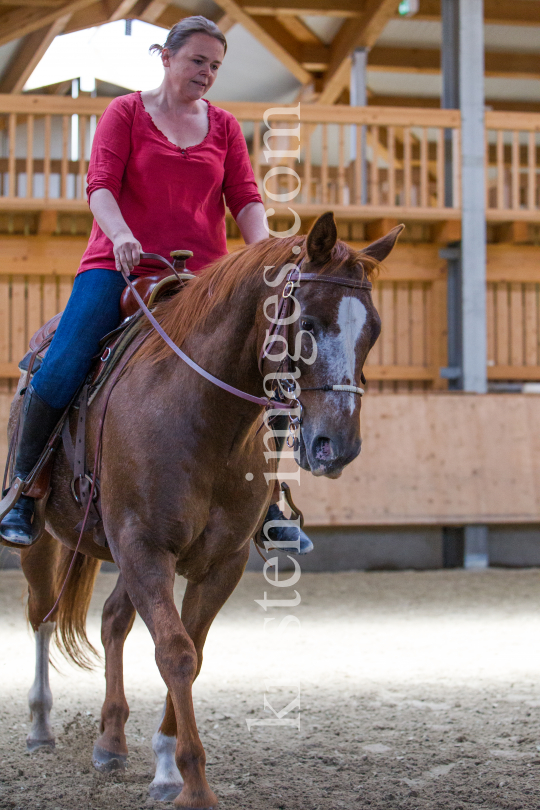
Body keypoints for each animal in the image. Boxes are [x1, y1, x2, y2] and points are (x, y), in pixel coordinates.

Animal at [11, 211, 400, 804]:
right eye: (308, 324)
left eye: (373, 330)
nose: (338, 445)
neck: (201, 412)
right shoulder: (144, 548)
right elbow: (175, 652)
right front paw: (194, 785)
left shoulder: (219, 562)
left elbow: (190, 651)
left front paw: (167, 767)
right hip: (47, 540)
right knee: (42, 615)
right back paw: (38, 725)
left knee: (113, 621)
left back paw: (111, 739)